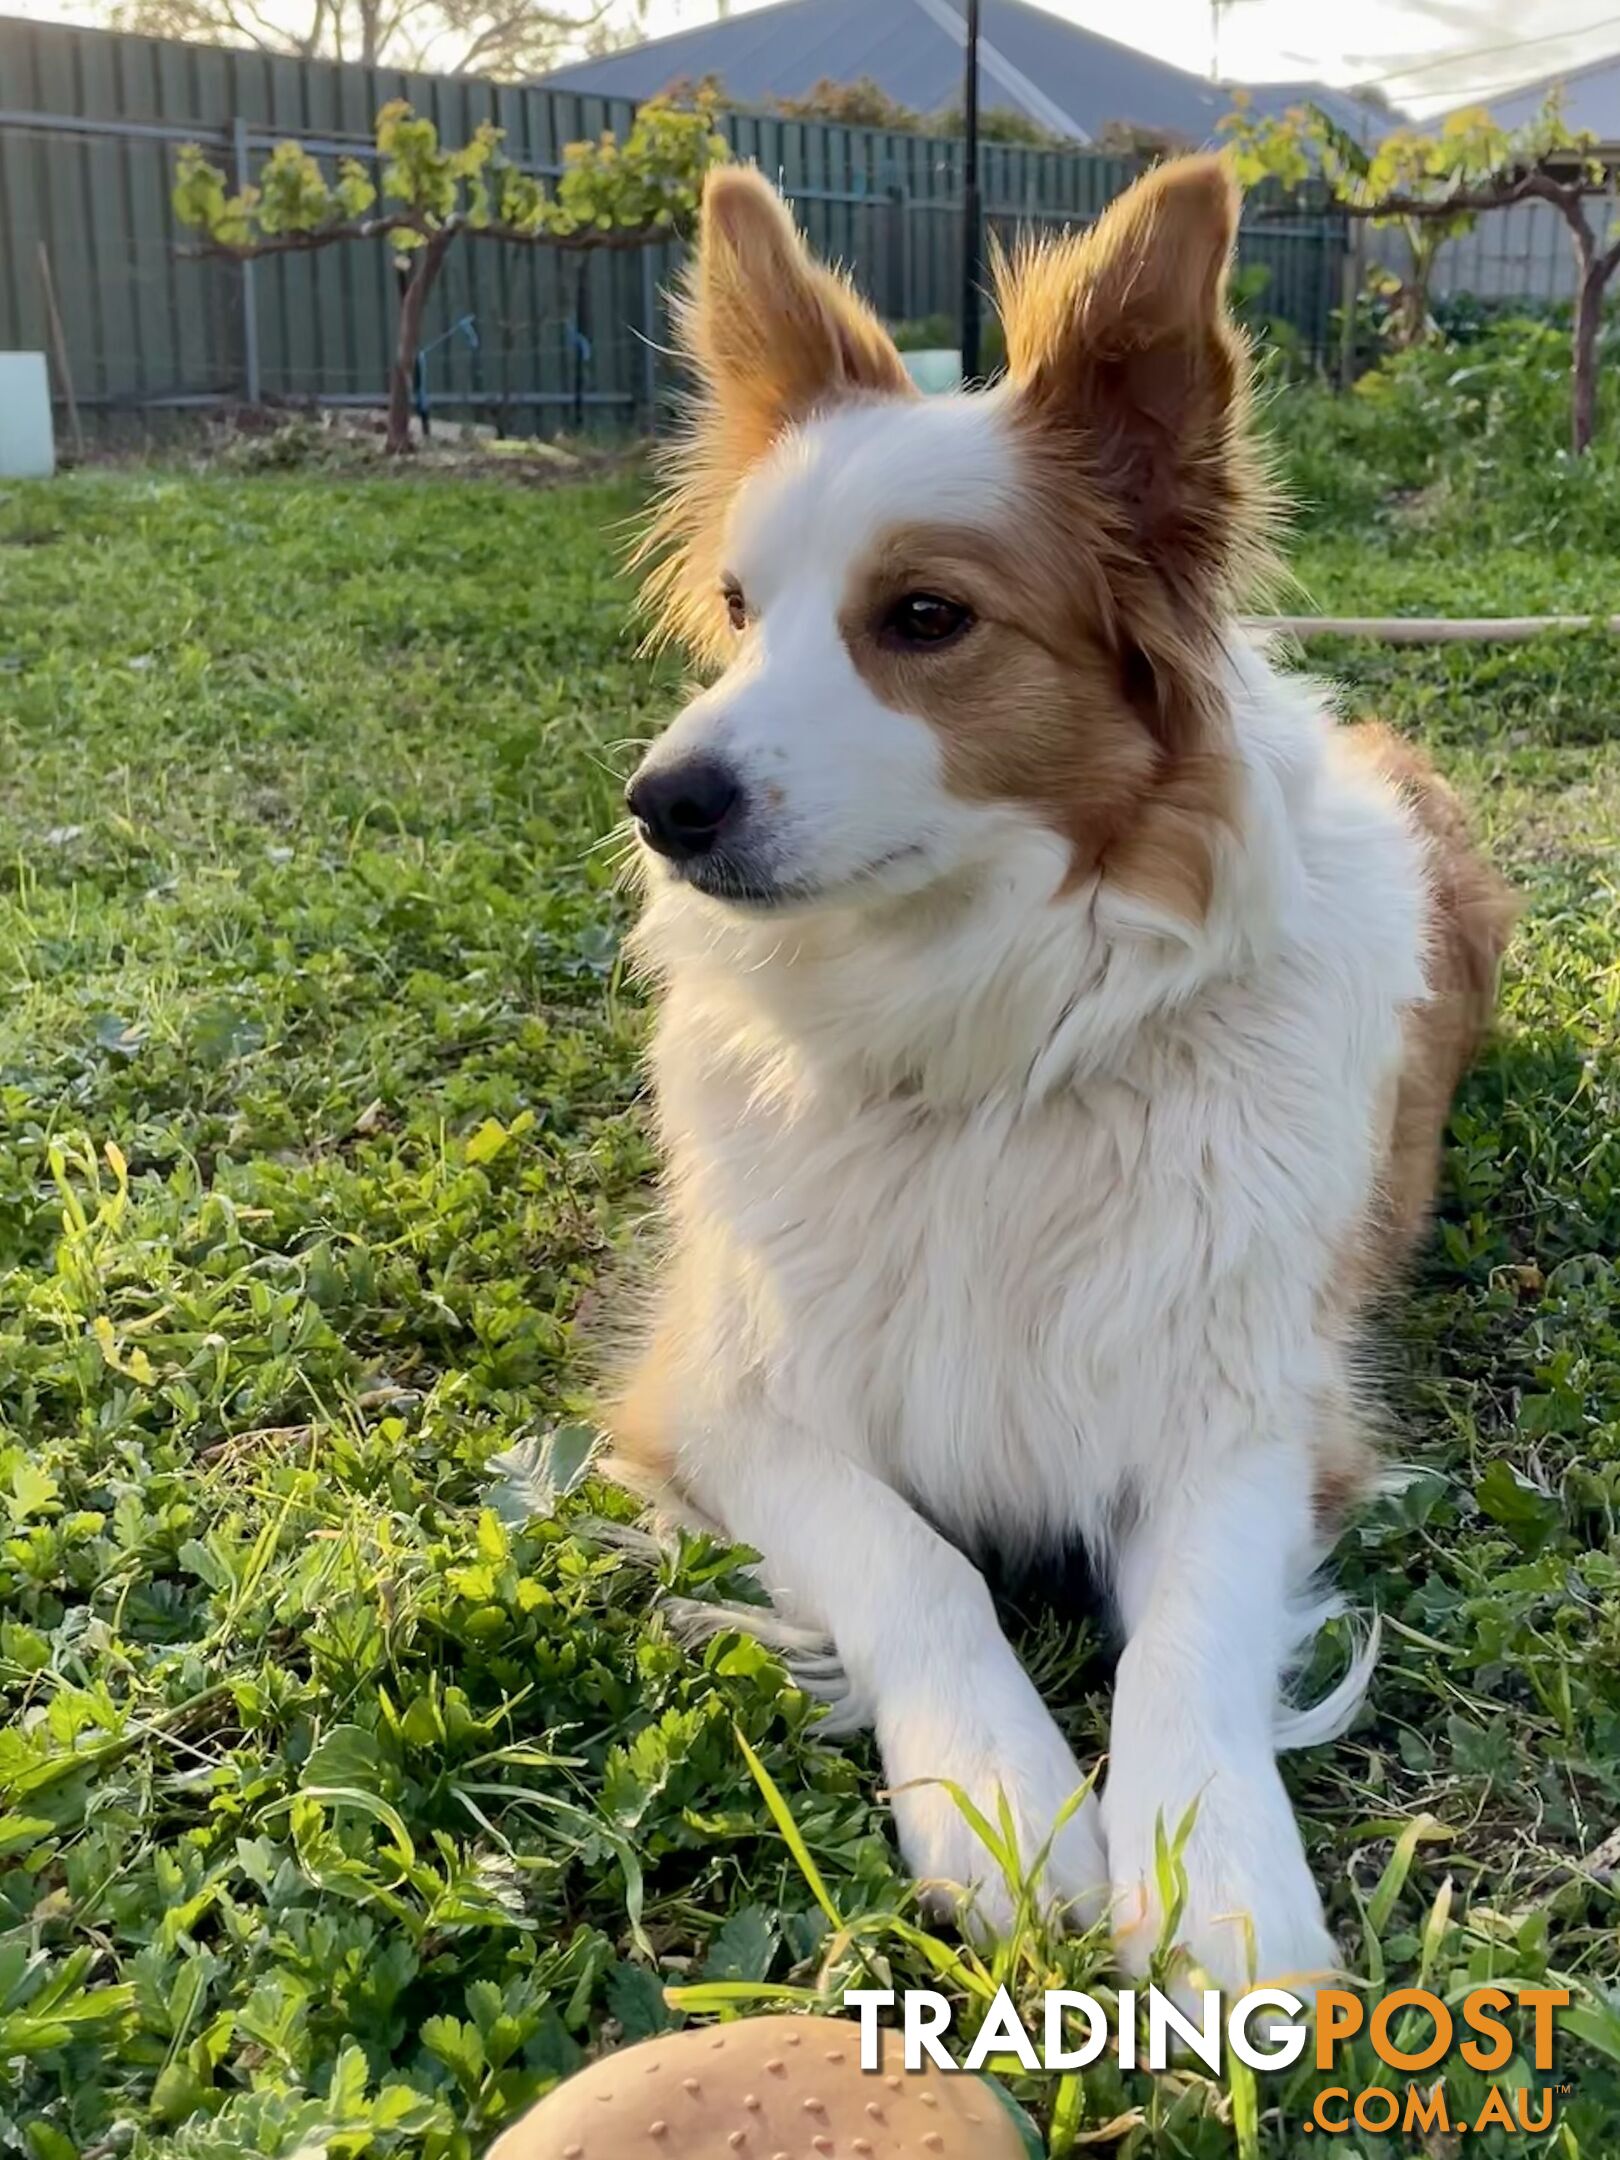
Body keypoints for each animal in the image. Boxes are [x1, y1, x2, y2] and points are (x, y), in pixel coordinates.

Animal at [604, 159, 1520, 1995]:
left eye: (926, 619)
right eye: (738, 611)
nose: (663, 804)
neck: (991, 1049)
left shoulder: (1249, 1415)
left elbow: (1187, 1642)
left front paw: (1214, 1873)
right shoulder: (723, 1397)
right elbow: (915, 1568)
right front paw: (1008, 1803)